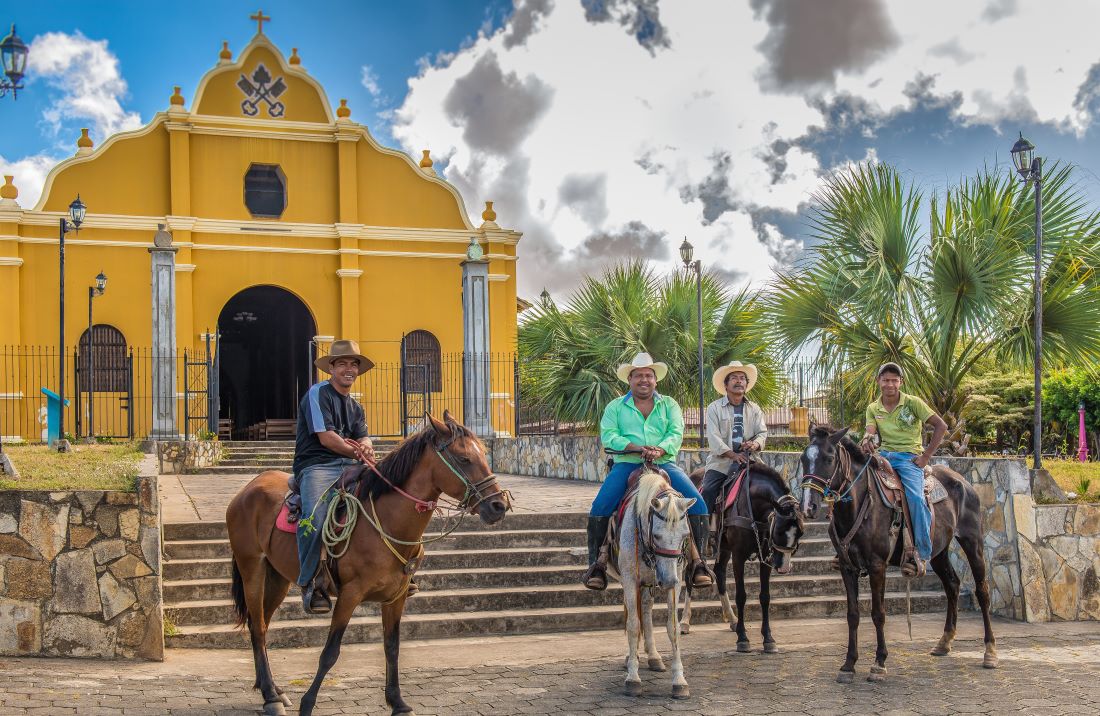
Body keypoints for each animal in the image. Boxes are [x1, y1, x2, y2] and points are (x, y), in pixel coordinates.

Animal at [229, 413, 512, 716]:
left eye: (483, 454)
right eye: (463, 458)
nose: (498, 506)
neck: (387, 522)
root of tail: (248, 488)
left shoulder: (397, 597)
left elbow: (392, 647)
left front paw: (398, 702)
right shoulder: (349, 595)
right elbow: (330, 652)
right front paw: (308, 703)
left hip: (277, 578)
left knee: (259, 625)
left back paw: (271, 690)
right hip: (252, 570)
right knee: (258, 627)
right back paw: (271, 695)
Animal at [602, 470, 695, 699]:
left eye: (685, 535)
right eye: (657, 535)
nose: (667, 580)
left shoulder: (676, 580)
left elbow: (673, 627)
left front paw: (679, 681)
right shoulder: (630, 579)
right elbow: (633, 625)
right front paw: (633, 678)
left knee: (646, 609)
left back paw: (653, 657)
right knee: (634, 614)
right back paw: (632, 657)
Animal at [682, 461, 805, 651]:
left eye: (800, 533)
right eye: (778, 530)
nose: (784, 567)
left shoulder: (766, 558)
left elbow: (765, 597)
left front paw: (768, 638)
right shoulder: (738, 555)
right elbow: (741, 596)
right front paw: (742, 638)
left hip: (724, 548)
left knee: (720, 573)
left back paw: (732, 618)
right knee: (690, 575)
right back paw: (685, 621)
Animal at [800, 426, 998, 681]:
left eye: (829, 458)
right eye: (803, 459)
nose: (808, 507)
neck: (860, 505)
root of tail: (964, 482)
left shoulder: (877, 566)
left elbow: (878, 613)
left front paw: (879, 663)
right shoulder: (846, 567)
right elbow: (852, 615)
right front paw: (848, 664)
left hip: (972, 541)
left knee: (982, 591)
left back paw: (990, 651)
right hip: (938, 551)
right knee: (952, 584)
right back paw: (944, 642)